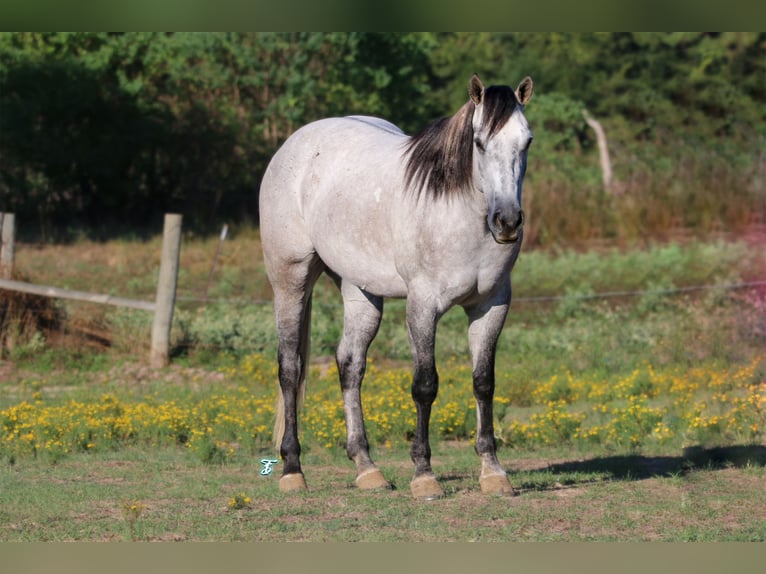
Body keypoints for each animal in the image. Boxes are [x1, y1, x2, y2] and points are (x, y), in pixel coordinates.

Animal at [259, 74, 534, 500]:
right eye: (478, 142)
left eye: (527, 142)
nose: (506, 221)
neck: (456, 213)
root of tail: (295, 143)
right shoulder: (422, 305)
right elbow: (425, 385)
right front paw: (424, 475)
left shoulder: (492, 305)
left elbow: (483, 383)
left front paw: (493, 473)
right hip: (290, 280)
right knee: (290, 368)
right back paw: (292, 469)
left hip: (360, 291)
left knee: (350, 365)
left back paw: (366, 467)